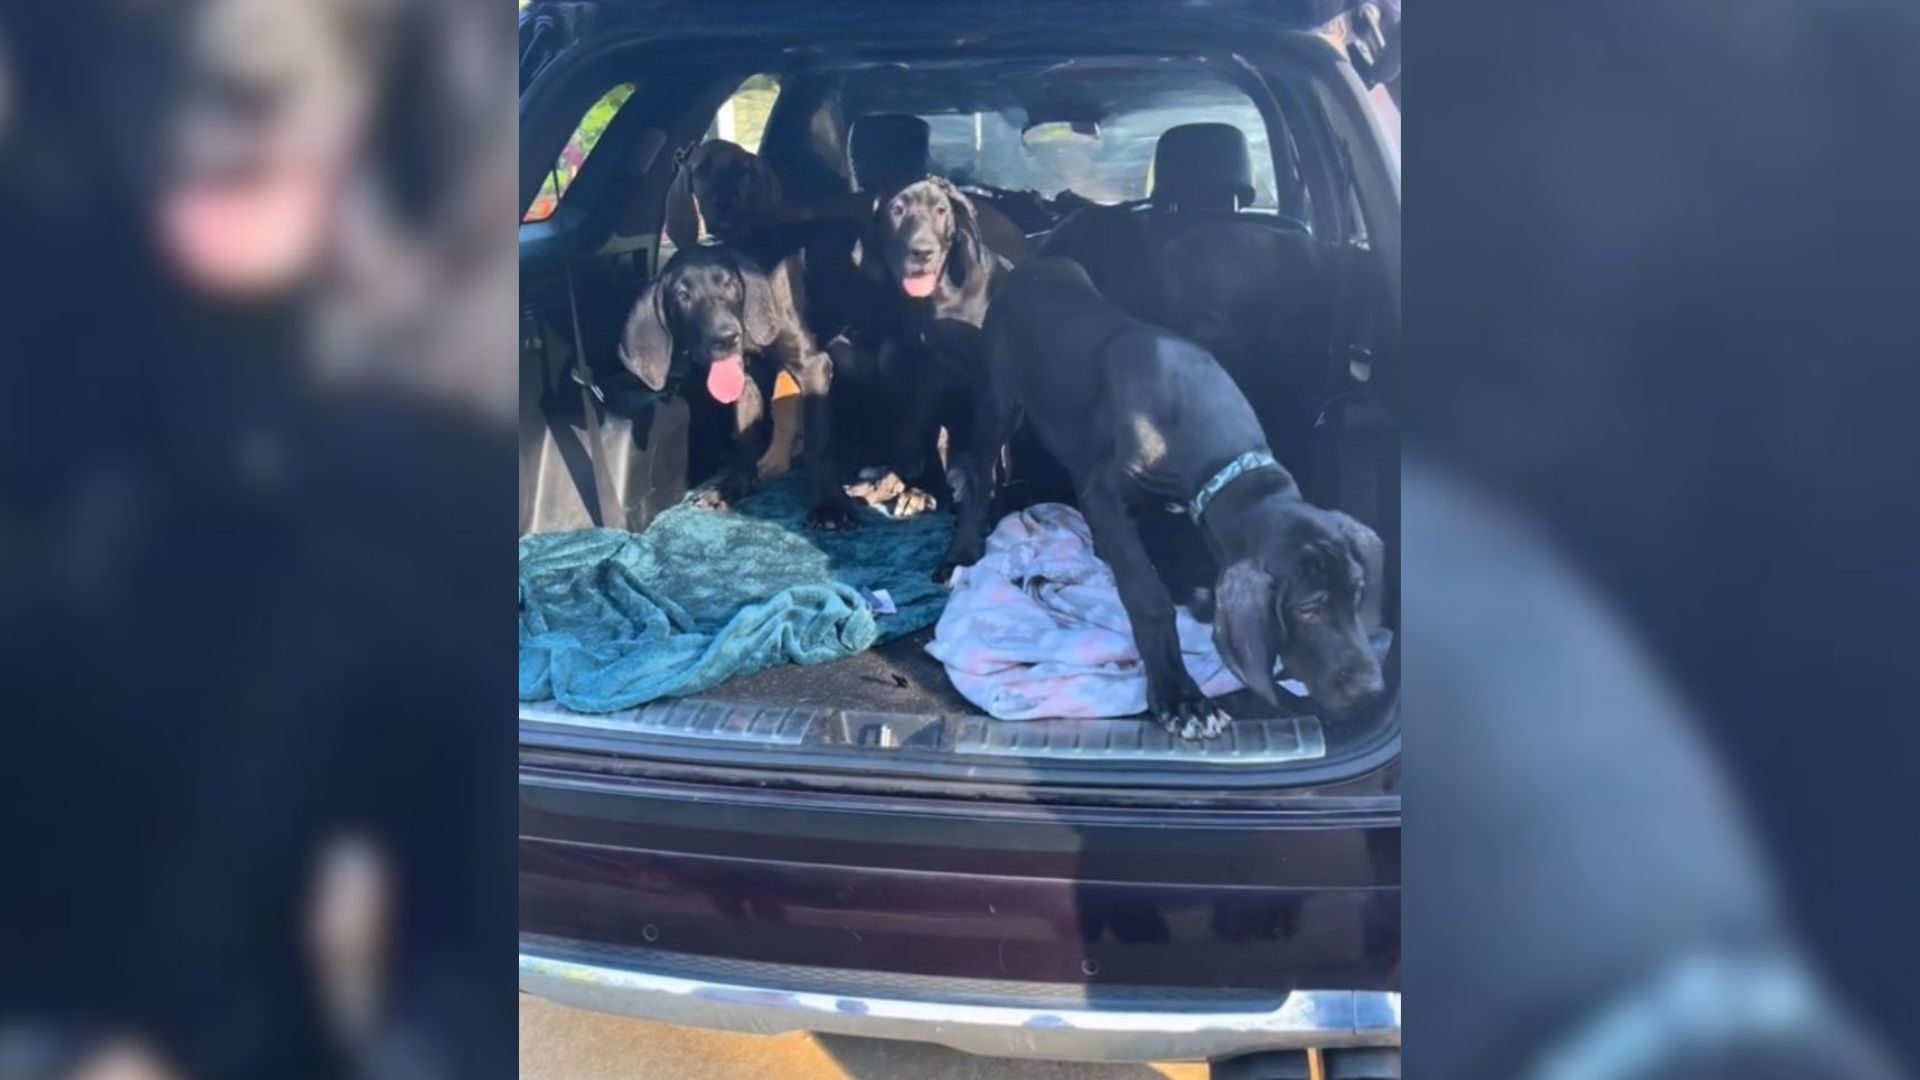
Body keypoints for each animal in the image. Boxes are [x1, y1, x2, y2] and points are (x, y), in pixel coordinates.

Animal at [618, 245, 860, 530]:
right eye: (682, 296)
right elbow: (747, 438)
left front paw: (830, 505)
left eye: (730, 284)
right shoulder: (747, 378)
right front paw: (733, 488)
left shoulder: (812, 366)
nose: (725, 339)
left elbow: (818, 444)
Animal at [940, 255, 1382, 734]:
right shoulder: (1104, 493)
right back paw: (961, 552)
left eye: (1358, 593)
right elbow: (1147, 596)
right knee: (981, 477)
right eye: (1308, 610)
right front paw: (1180, 697)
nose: (1373, 689)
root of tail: (1035, 263)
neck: (1218, 455)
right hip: (1000, 398)